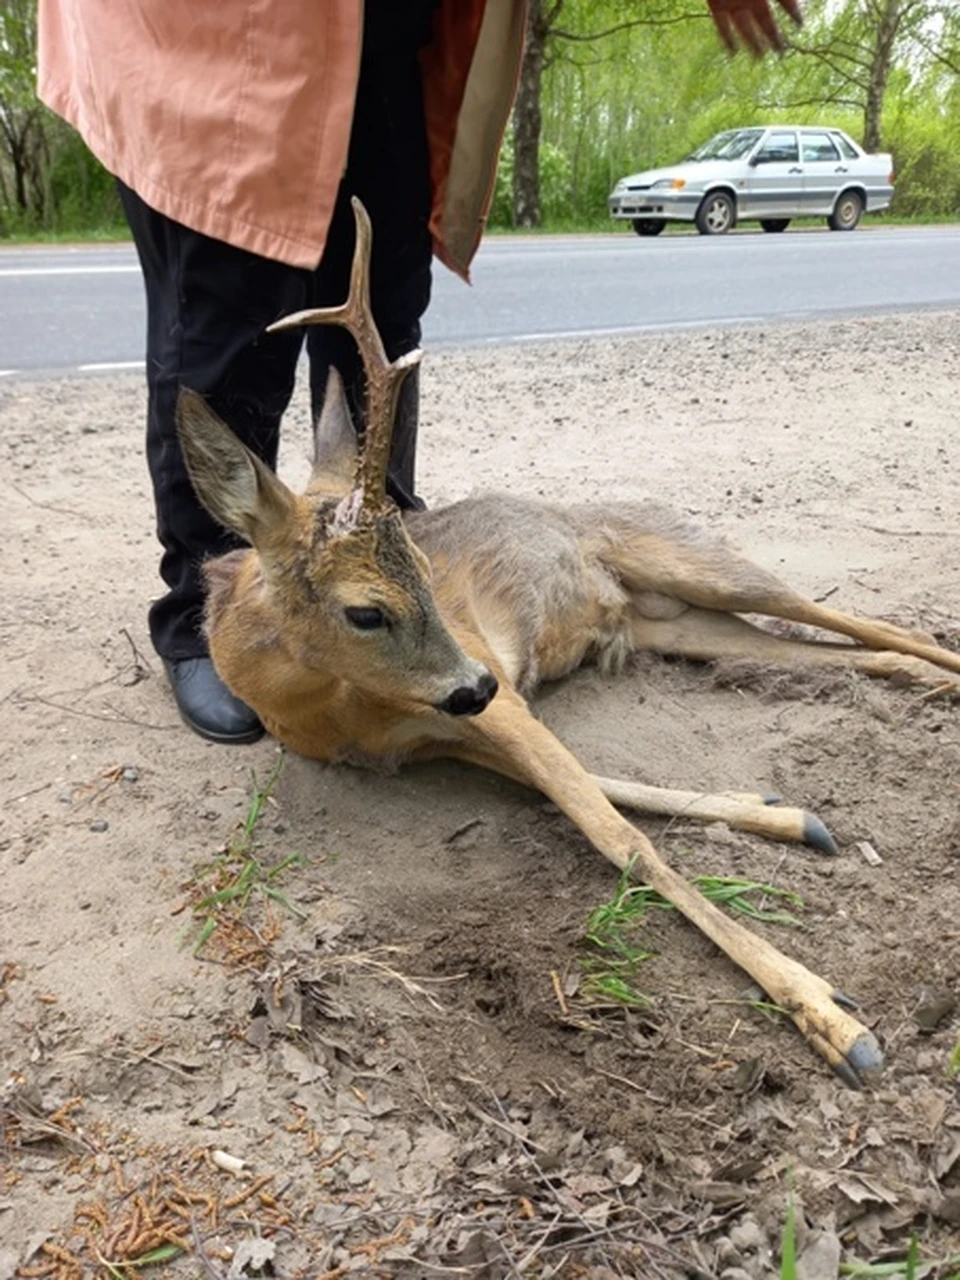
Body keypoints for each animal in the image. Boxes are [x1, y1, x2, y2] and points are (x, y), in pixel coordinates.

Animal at [175, 199, 960, 1090]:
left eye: (424, 565)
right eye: (367, 612)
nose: (477, 684)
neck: (328, 712)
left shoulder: (490, 691)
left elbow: (617, 832)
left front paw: (831, 1016)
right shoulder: (444, 735)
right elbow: (601, 788)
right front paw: (784, 815)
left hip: (705, 563)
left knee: (874, 623)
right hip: (680, 625)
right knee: (848, 649)